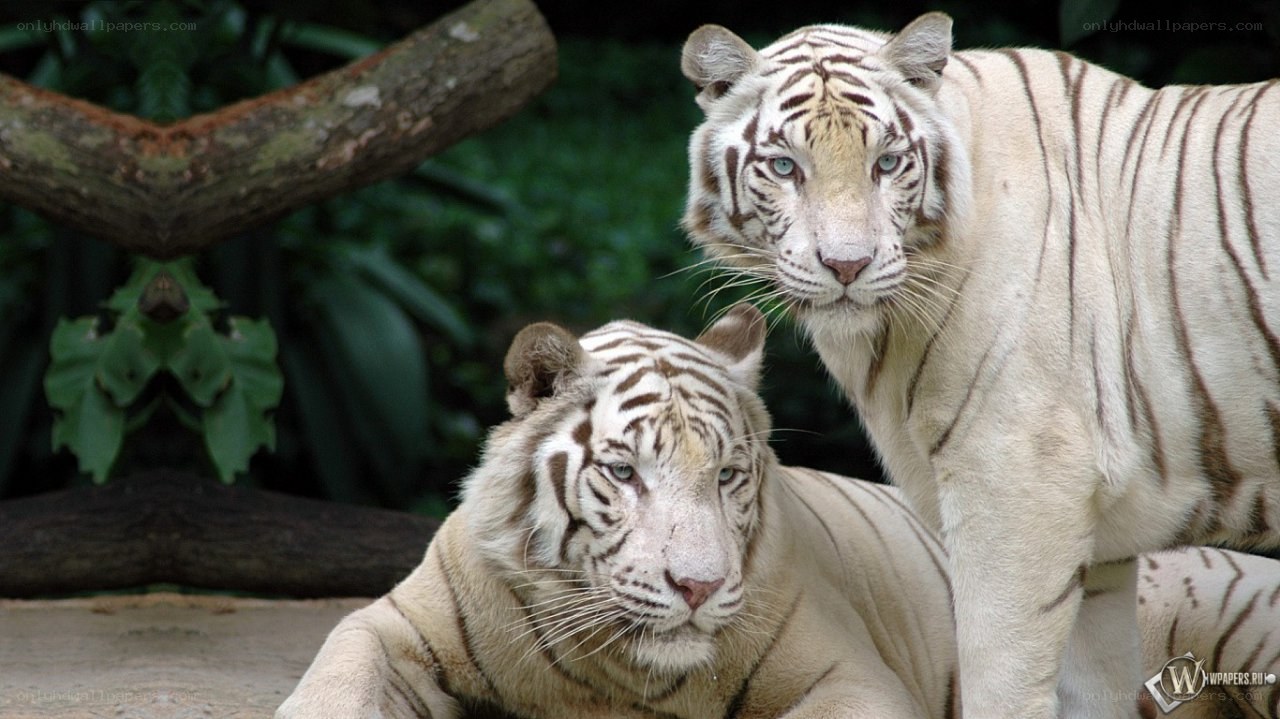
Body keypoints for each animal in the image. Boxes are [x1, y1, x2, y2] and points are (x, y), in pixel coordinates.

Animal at [276, 304, 1280, 719]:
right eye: (624, 472)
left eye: (726, 475)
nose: (697, 585)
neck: (608, 675)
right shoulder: (391, 623)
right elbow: (336, 677)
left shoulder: (851, 677)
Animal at [679, 11, 1280, 719]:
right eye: (783, 166)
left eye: (887, 163)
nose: (847, 266)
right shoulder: (1100, 552)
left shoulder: (1017, 489)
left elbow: (1001, 681)